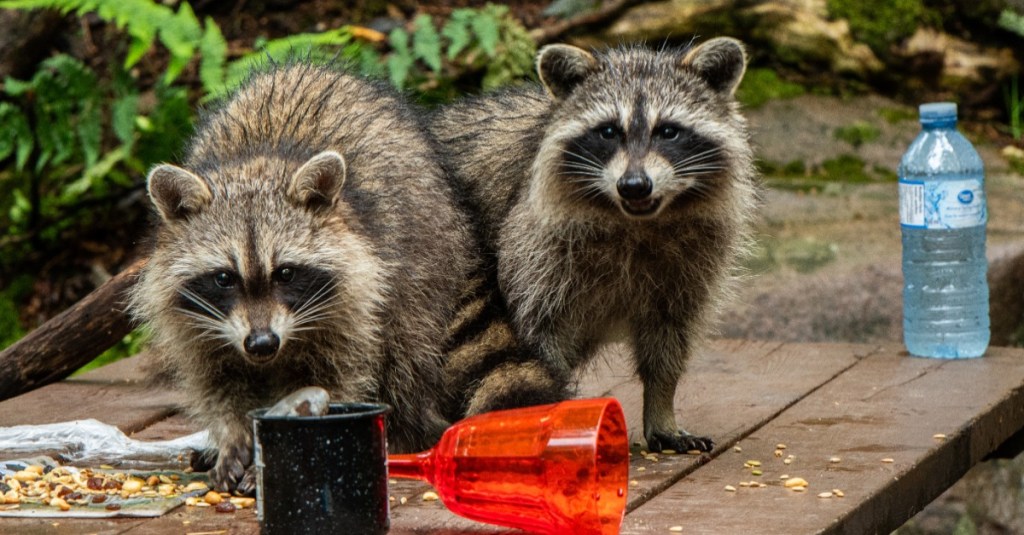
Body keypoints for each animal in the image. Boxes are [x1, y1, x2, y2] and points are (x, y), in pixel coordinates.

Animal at [128, 60, 475, 489]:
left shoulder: (358, 302)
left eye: (286, 273)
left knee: (406, 355)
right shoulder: (195, 324)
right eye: (224, 278)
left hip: (428, 265)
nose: (261, 344)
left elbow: (336, 379)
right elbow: (217, 384)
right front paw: (231, 437)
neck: (255, 163)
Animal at [432, 38, 761, 448]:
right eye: (608, 131)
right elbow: (537, 335)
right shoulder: (533, 247)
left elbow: (670, 335)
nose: (634, 185)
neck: (635, 221)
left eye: (668, 131)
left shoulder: (692, 263)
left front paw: (661, 405)